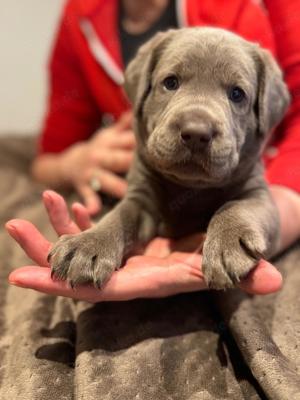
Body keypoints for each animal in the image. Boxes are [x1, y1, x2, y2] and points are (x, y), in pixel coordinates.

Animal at [48, 28, 290, 290]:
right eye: (171, 82)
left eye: (237, 94)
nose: (196, 133)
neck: (191, 187)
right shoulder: (141, 196)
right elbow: (121, 216)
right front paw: (88, 243)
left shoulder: (258, 194)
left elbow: (236, 206)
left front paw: (228, 243)